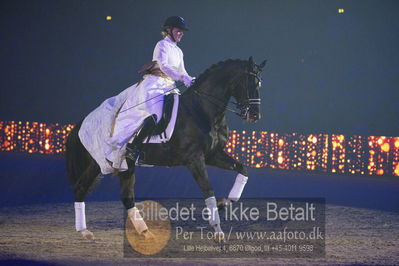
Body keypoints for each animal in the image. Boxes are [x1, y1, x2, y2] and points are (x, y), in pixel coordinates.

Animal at [65, 57, 266, 240]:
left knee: (126, 196)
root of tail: (82, 122)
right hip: (97, 163)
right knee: (81, 188)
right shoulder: (194, 159)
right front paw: (218, 232)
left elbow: (242, 169)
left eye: (259, 84)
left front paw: (225, 202)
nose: (254, 115)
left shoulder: (213, 155)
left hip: (125, 165)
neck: (202, 109)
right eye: (249, 83)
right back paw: (84, 231)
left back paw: (145, 232)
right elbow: (208, 190)